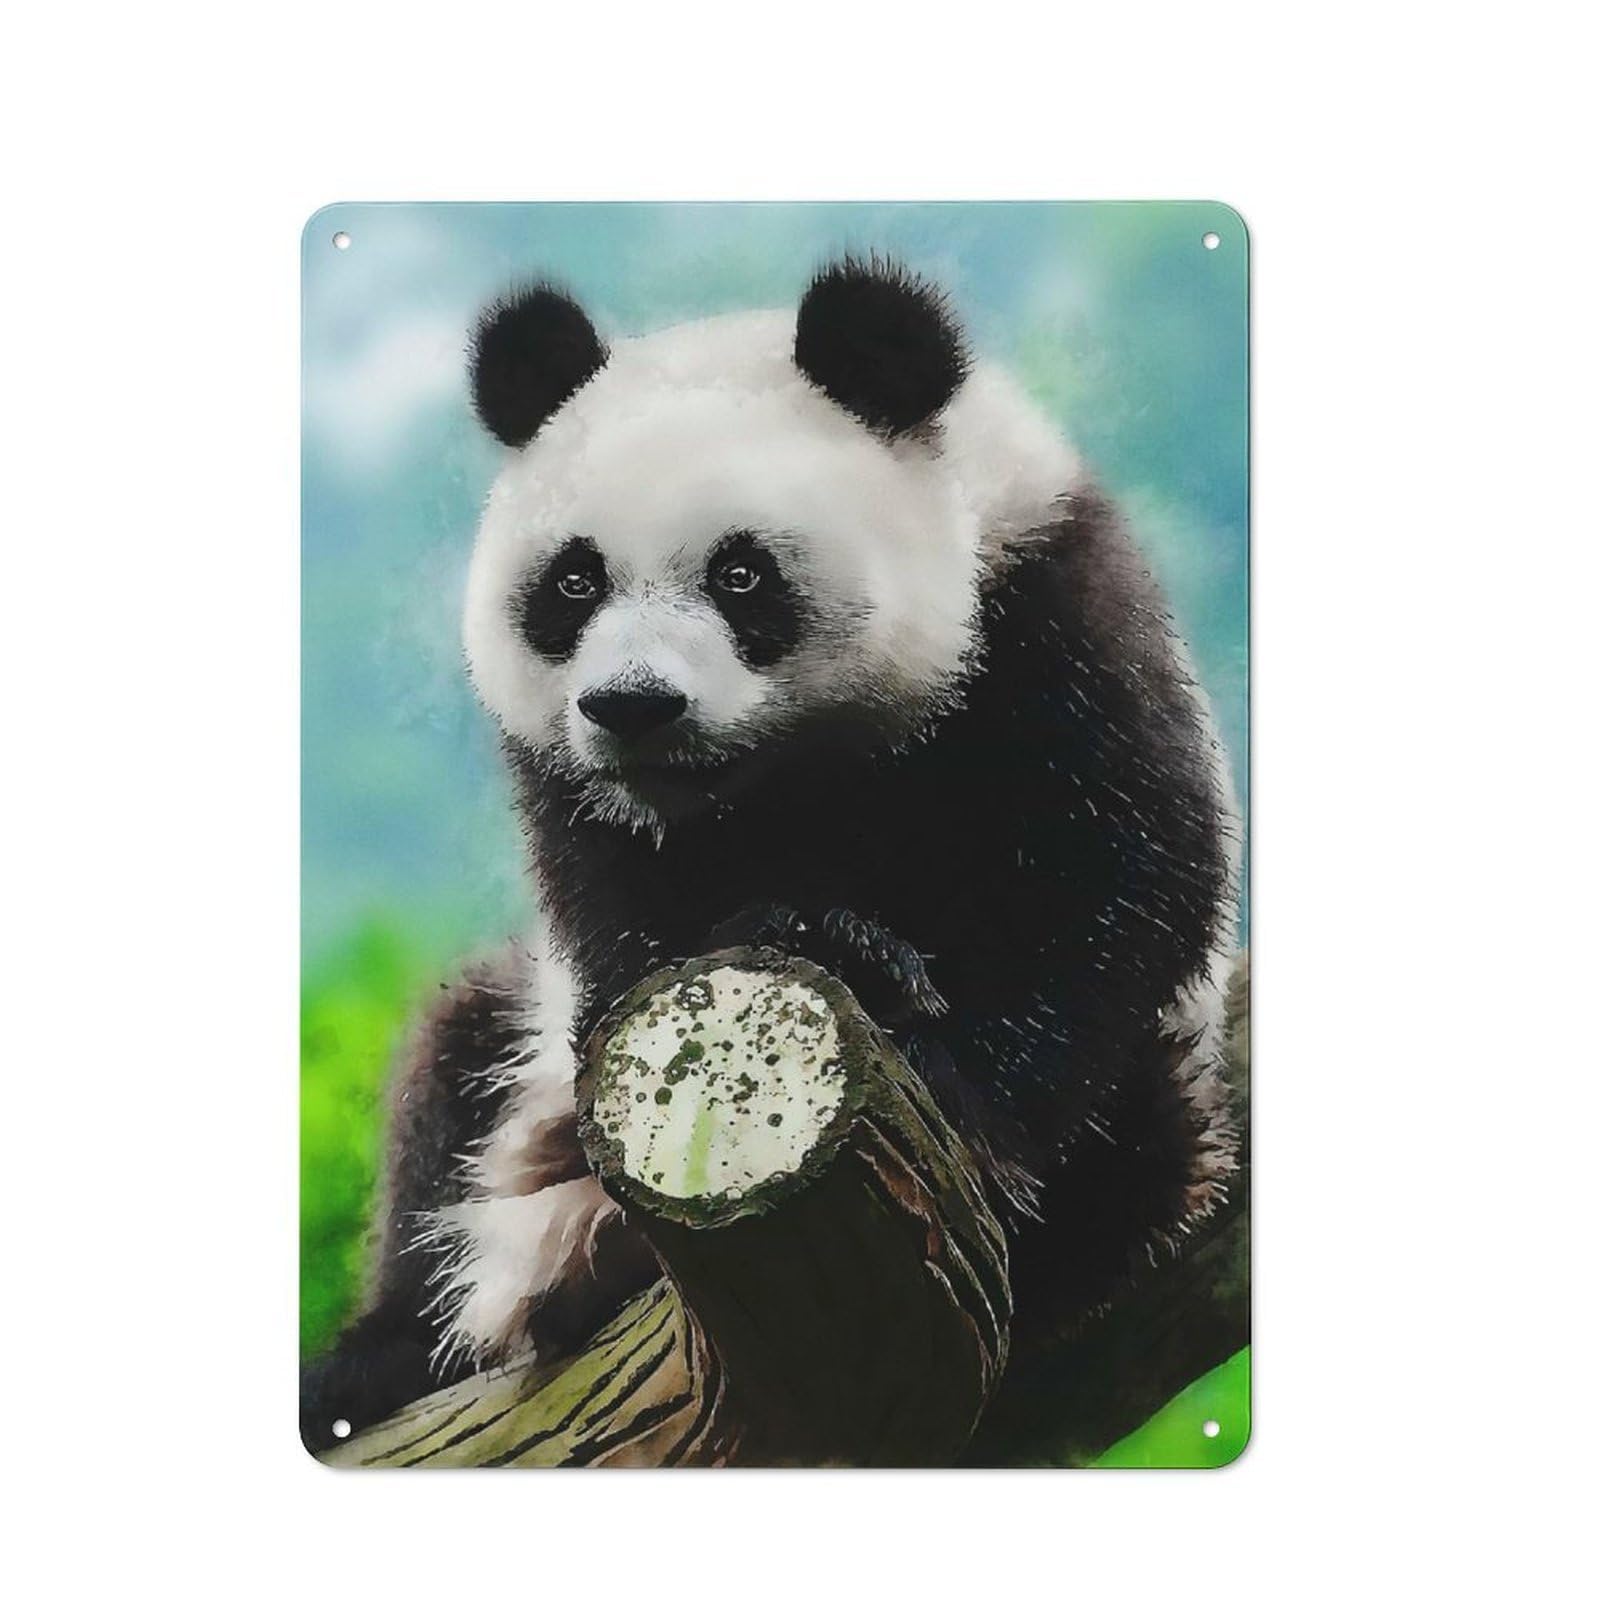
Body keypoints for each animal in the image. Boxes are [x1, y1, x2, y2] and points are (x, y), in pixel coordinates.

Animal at [301, 256, 1240, 1448]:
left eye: (741, 574)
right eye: (574, 581)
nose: (633, 705)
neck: (776, 781)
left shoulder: (1054, 623)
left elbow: (1112, 885)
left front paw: (933, 1055)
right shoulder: (576, 798)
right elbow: (614, 932)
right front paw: (801, 932)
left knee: (1136, 1153)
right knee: (450, 1076)